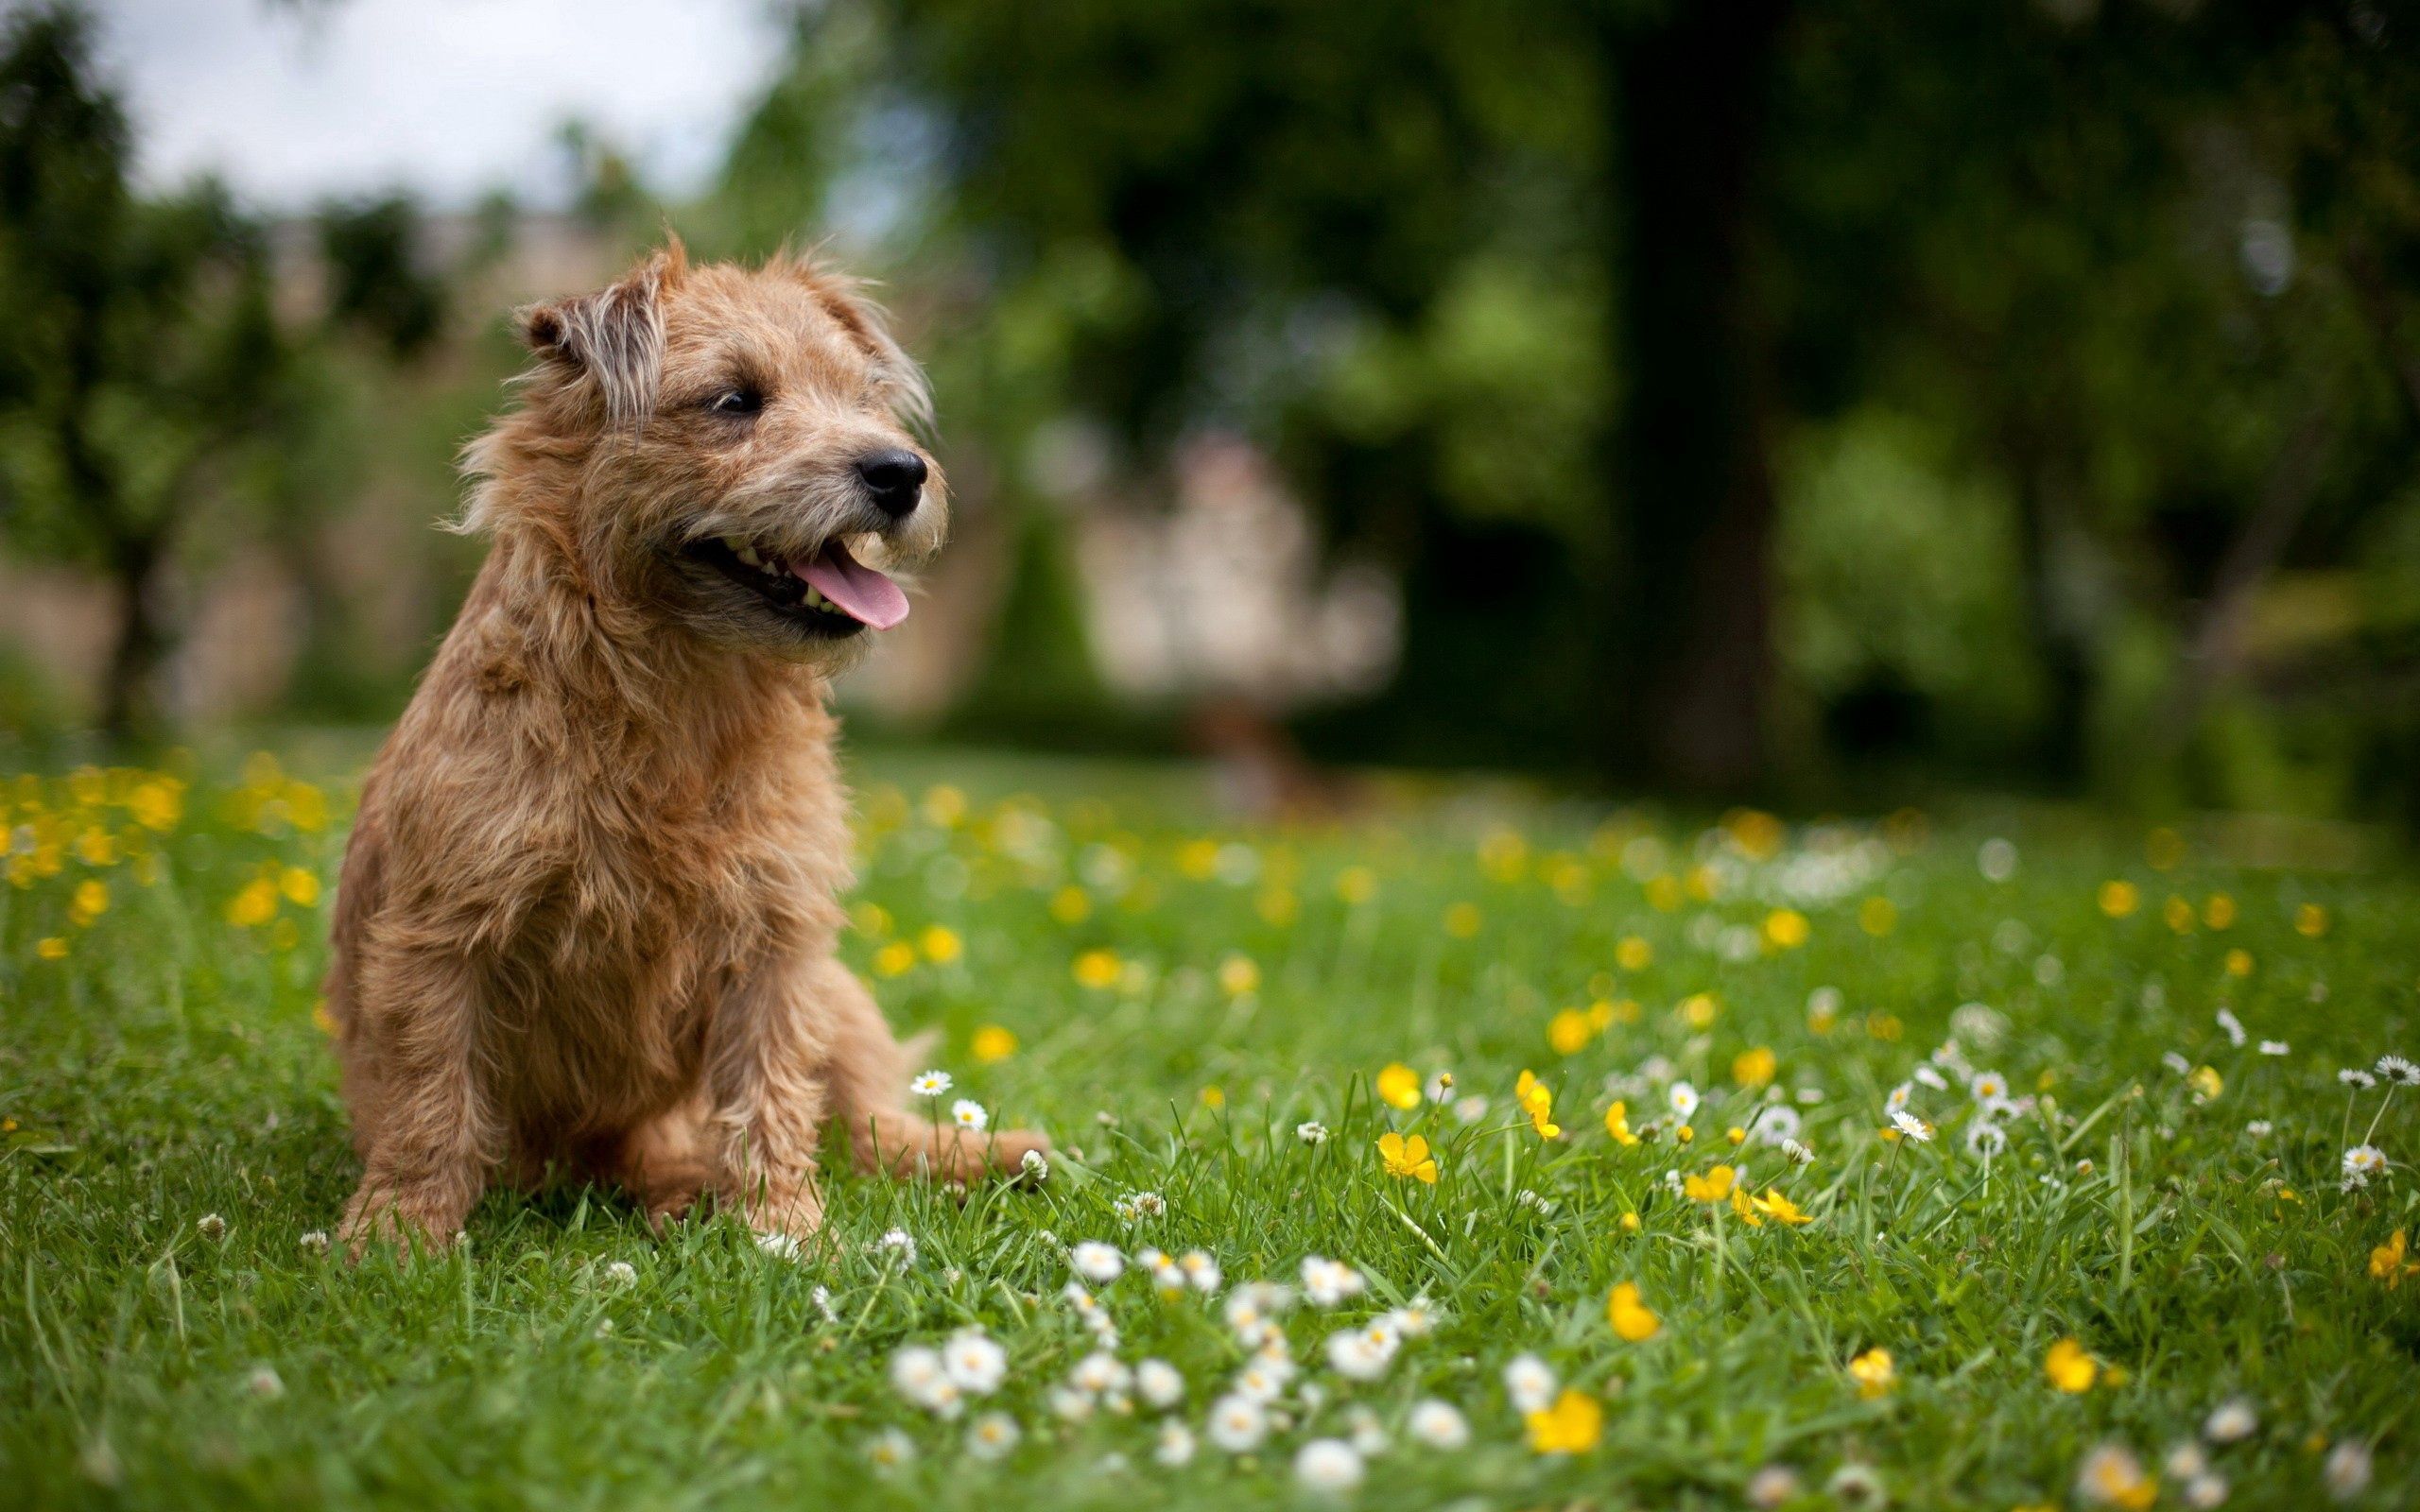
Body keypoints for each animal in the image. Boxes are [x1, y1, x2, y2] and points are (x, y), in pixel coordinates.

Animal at [324, 238, 1040, 1247]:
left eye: (865, 397)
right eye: (735, 400)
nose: (901, 471)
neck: (680, 705)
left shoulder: (775, 941)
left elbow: (772, 1093)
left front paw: (786, 1227)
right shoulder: (442, 937)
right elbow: (432, 1095)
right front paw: (397, 1233)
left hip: (840, 993)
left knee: (870, 1124)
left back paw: (995, 1155)